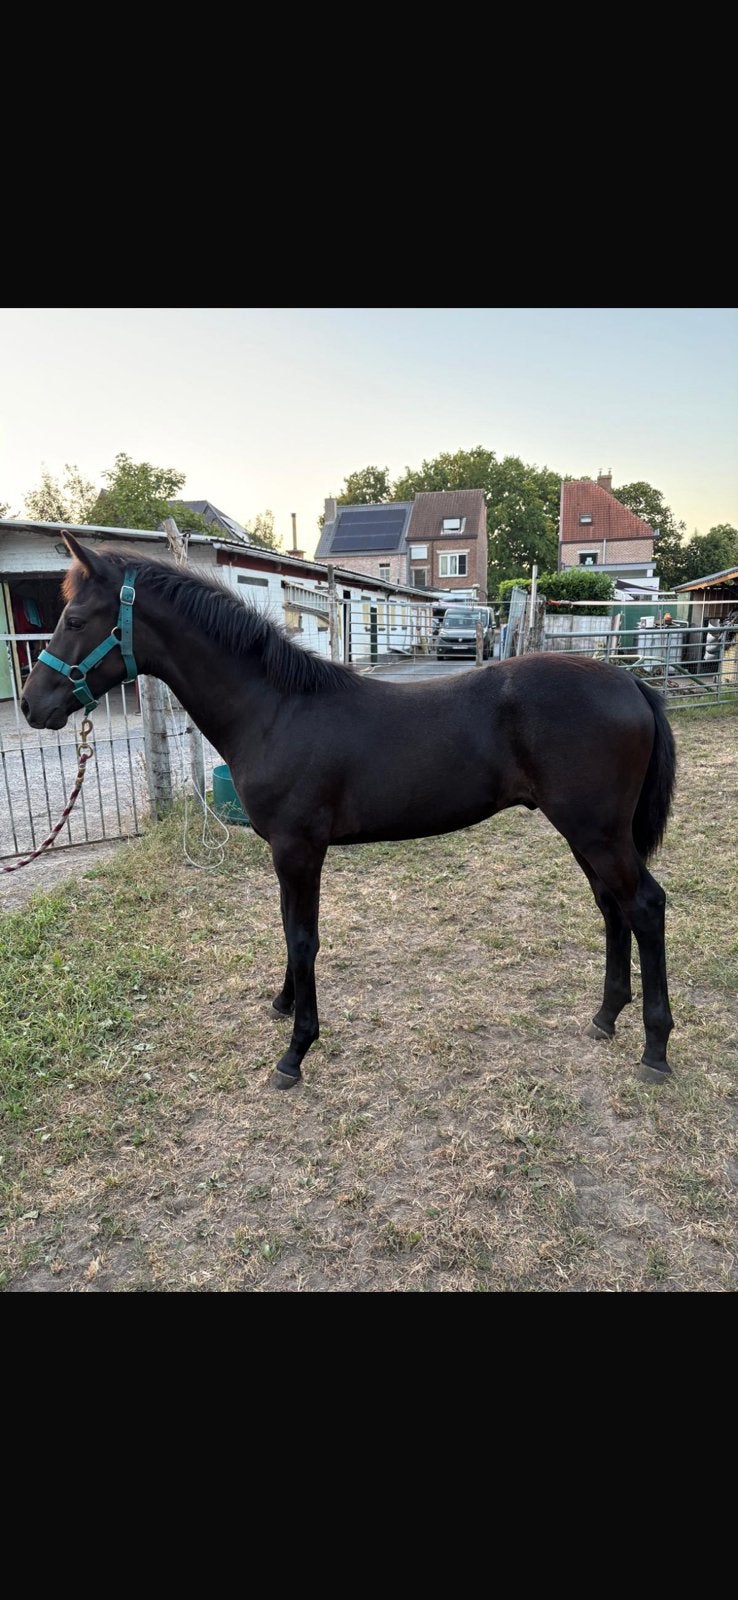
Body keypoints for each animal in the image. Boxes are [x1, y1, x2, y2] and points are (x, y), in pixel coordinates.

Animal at [21, 534, 677, 1091]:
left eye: (75, 620)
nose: (31, 704)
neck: (276, 709)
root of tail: (632, 685)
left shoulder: (298, 849)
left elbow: (303, 938)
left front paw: (295, 1052)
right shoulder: (286, 852)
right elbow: (289, 931)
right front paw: (284, 1005)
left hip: (595, 832)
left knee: (644, 906)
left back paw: (655, 1049)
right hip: (588, 833)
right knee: (612, 908)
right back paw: (605, 1016)